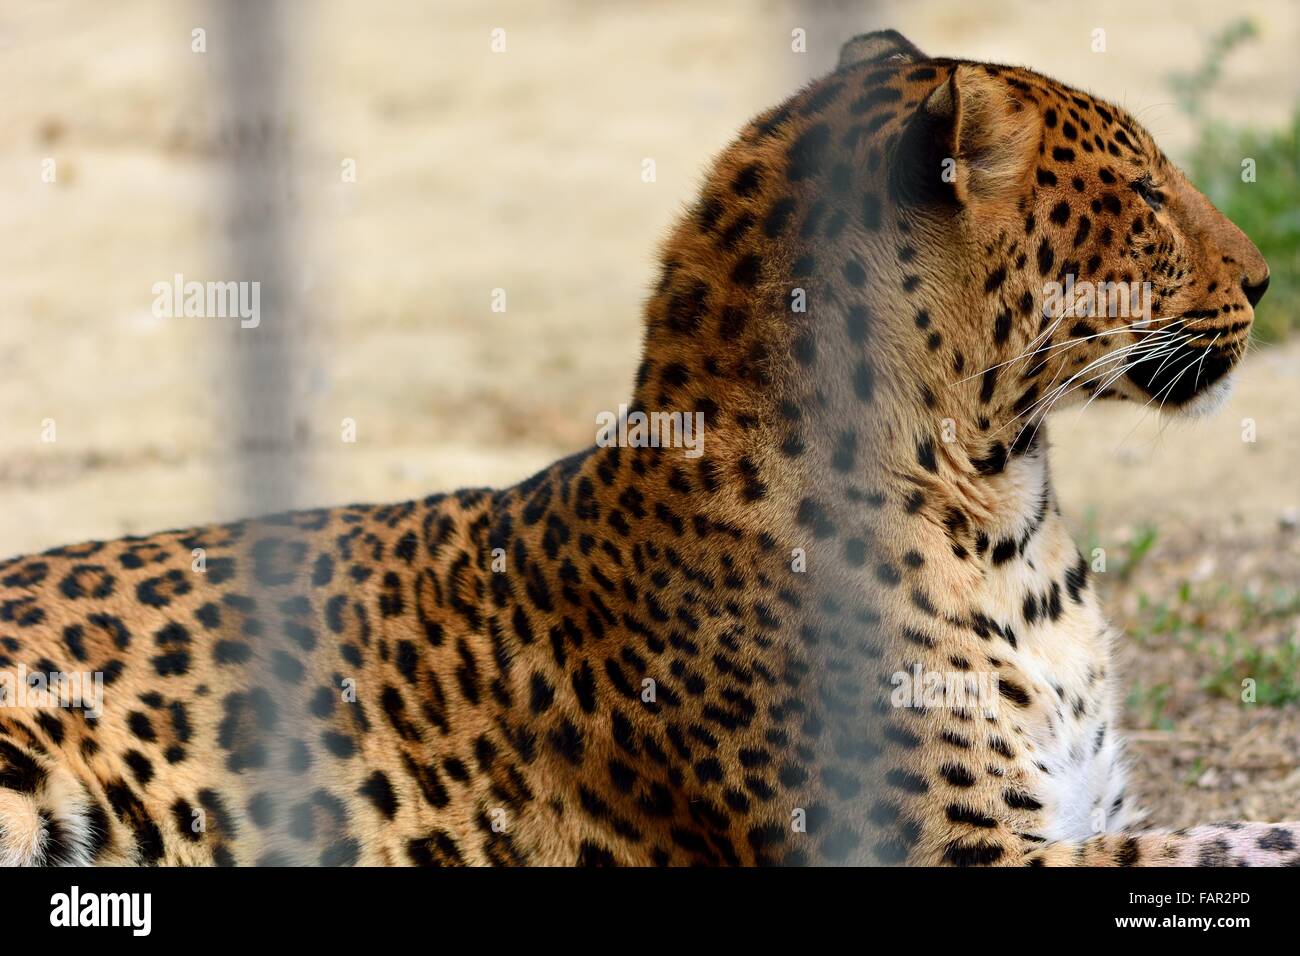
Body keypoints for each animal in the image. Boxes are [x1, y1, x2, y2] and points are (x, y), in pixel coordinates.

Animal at [0, 29, 1289, 868]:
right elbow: (1218, 845)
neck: (1004, 508)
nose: (1266, 278)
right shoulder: (948, 855)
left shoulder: (1083, 810)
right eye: (1144, 197)